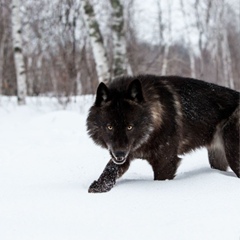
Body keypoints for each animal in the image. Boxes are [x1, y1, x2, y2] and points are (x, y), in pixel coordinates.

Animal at [86, 74, 240, 192]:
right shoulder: (126, 154)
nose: (119, 154)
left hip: (232, 156)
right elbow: (110, 168)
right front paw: (100, 186)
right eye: (109, 127)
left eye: (129, 127)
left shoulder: (165, 163)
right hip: (216, 158)